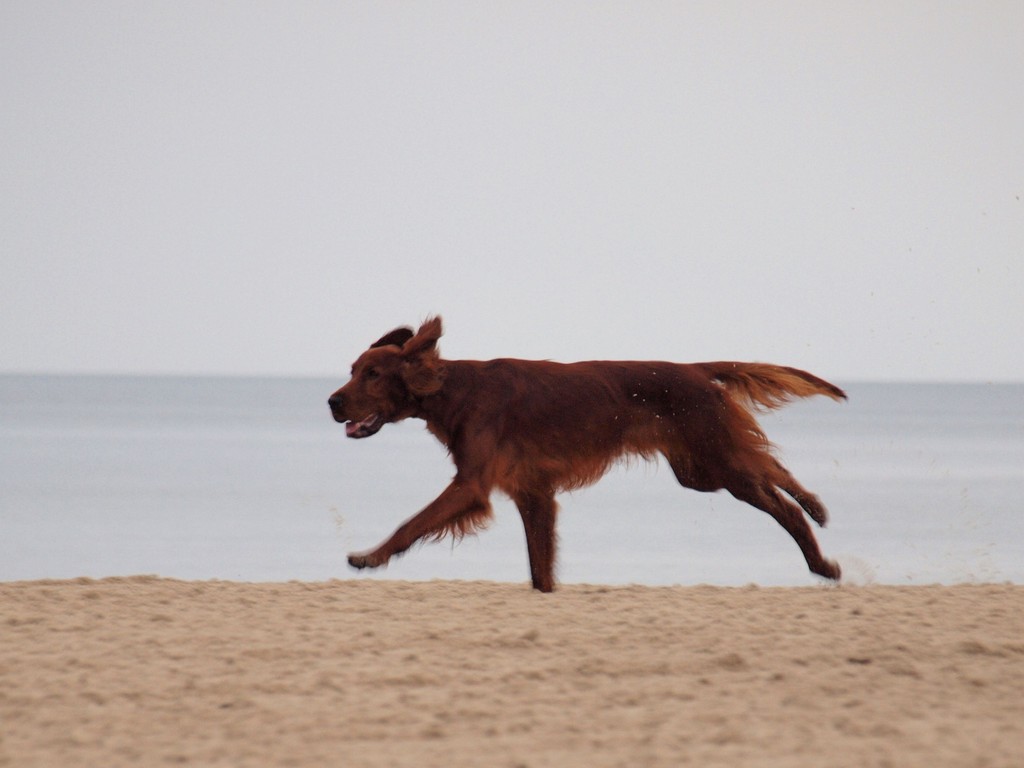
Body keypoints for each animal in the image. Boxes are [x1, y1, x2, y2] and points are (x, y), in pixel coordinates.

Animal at [329, 315, 847, 593]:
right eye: (352, 370)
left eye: (373, 374)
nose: (331, 402)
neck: (453, 389)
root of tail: (696, 370)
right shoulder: (533, 493)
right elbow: (540, 565)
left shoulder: (472, 485)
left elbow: (410, 524)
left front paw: (369, 558)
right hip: (700, 469)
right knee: (770, 466)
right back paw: (819, 518)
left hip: (716, 460)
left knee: (778, 494)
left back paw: (820, 550)